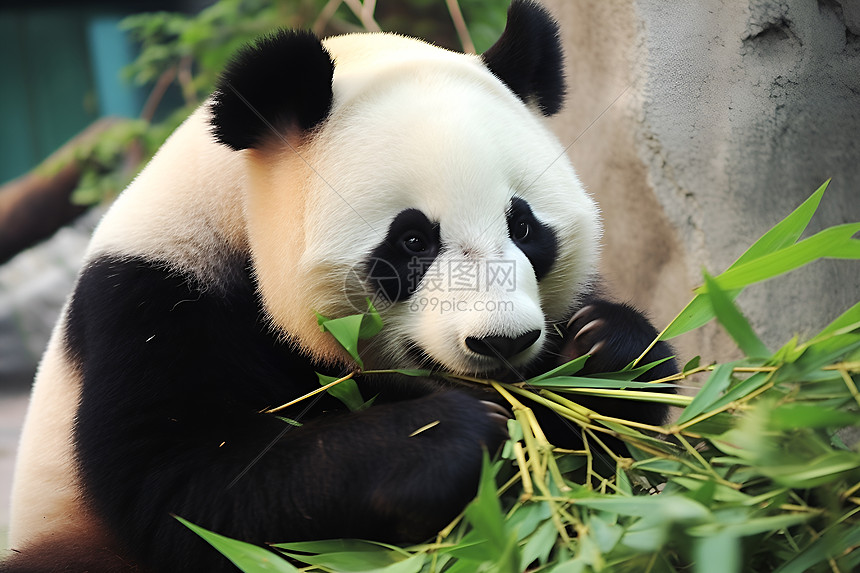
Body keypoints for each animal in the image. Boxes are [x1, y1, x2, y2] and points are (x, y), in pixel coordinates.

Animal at [5, 2, 680, 568]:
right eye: (413, 240)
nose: (502, 341)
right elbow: (184, 480)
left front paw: (605, 346)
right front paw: (447, 438)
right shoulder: (152, 301)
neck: (237, 207)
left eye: (523, 226)